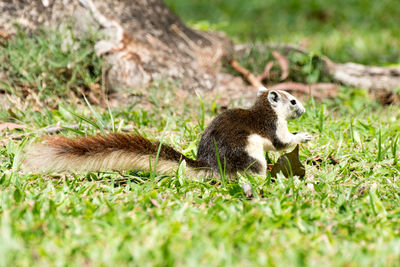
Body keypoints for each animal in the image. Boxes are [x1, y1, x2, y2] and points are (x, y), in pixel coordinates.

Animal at [23, 88, 312, 180]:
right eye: (293, 101)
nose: (304, 109)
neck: (264, 107)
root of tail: (210, 166)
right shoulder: (272, 125)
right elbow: (282, 142)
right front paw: (304, 136)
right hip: (249, 155)